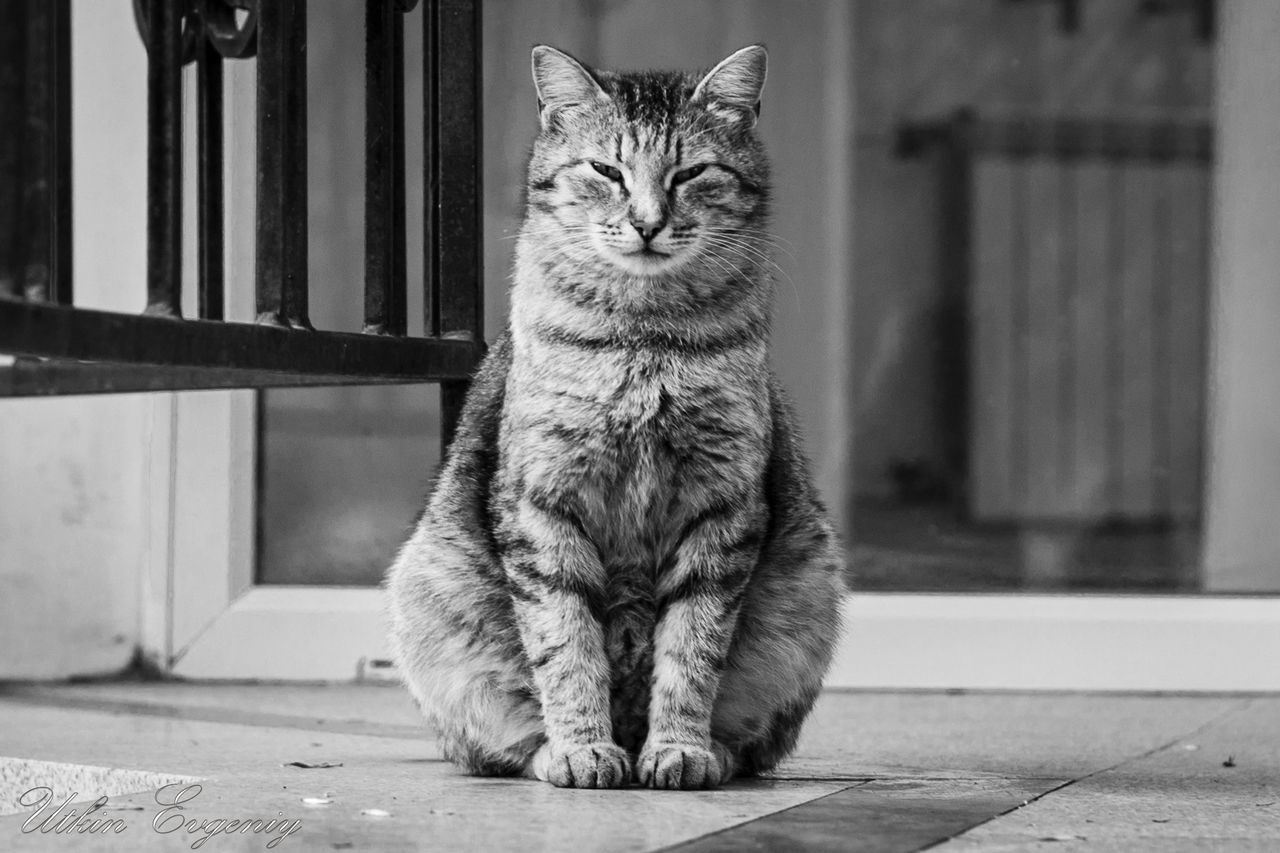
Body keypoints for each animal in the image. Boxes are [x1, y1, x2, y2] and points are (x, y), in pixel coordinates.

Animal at [384, 43, 844, 788]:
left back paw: (705, 752)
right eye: (606, 170)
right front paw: (582, 748)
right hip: (426, 591)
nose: (648, 223)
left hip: (811, 592)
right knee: (502, 743)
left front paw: (679, 748)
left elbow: (693, 648)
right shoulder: (542, 504)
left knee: (748, 742)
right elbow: (566, 643)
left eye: (691, 172)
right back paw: (564, 750)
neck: (644, 340)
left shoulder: (723, 506)